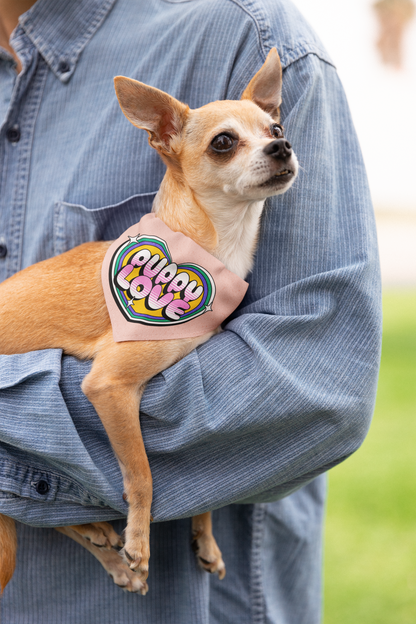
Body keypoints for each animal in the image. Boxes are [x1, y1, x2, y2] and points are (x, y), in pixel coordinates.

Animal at [0, 47, 298, 596]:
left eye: (276, 126)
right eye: (224, 142)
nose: (282, 146)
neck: (207, 250)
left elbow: (206, 483)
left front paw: (203, 536)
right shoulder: (109, 386)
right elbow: (141, 473)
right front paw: (139, 540)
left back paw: (100, 539)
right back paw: (106, 538)